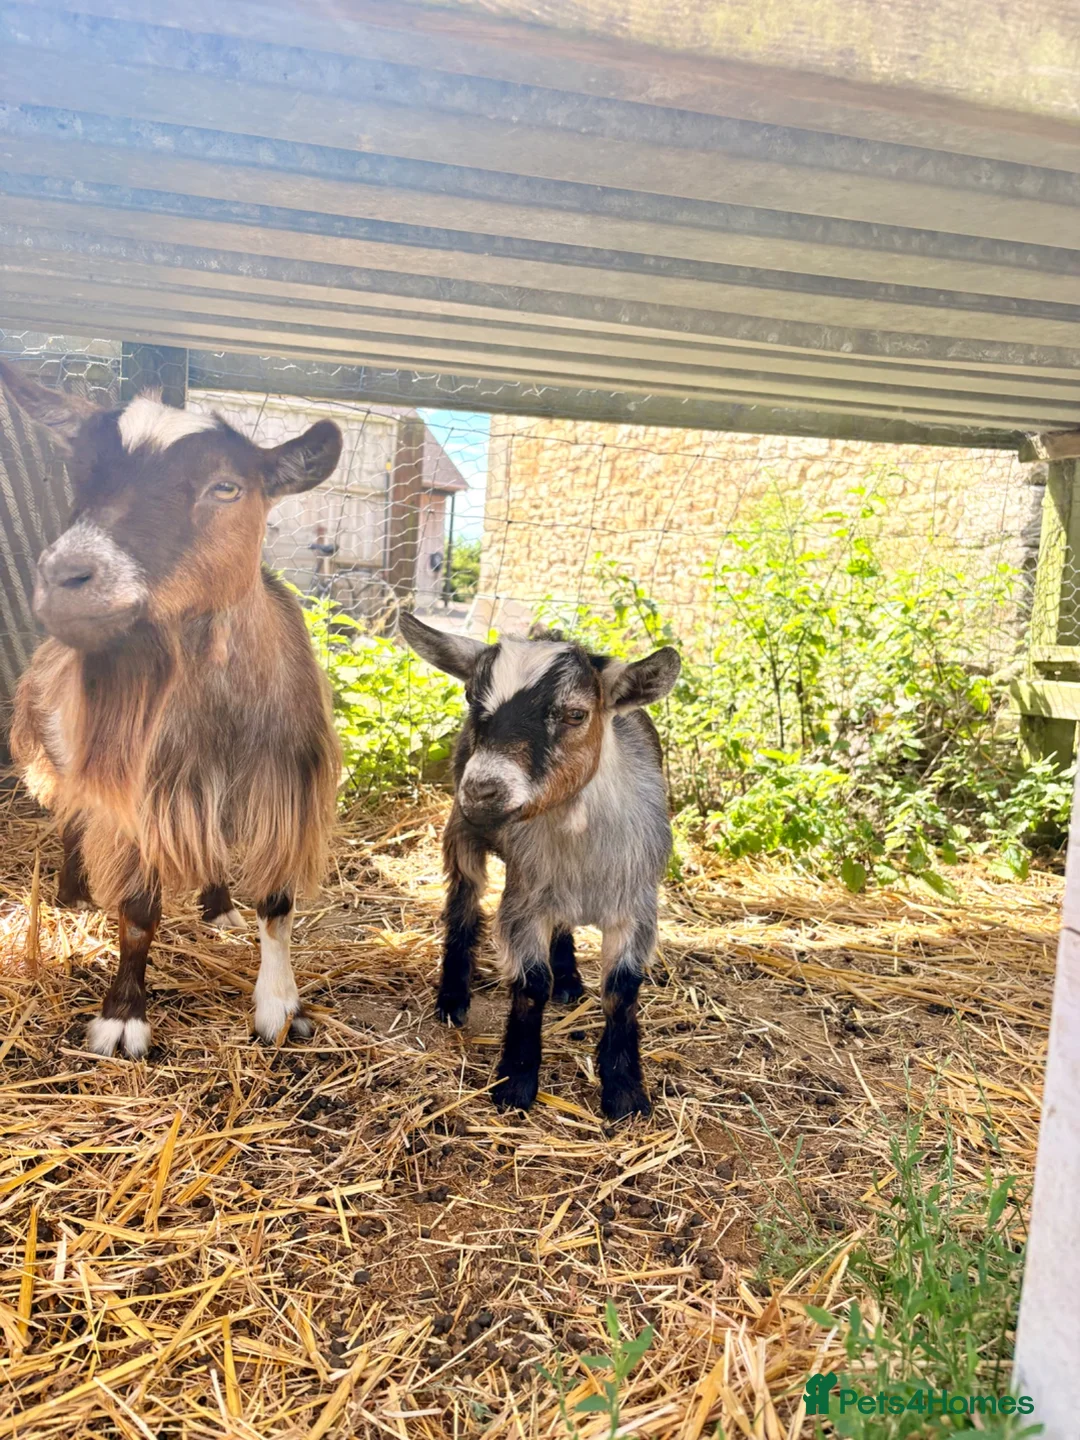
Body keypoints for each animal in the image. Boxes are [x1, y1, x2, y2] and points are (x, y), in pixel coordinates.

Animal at [1, 362, 343, 1057]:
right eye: (82, 473)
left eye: (226, 487)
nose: (66, 575)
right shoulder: (136, 799)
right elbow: (138, 913)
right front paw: (122, 1018)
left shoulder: (283, 791)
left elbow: (278, 905)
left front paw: (279, 1009)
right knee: (73, 823)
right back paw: (73, 892)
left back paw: (217, 905)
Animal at [398, 612, 680, 1120]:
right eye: (472, 700)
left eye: (575, 714)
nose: (483, 790)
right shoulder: (524, 901)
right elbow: (531, 985)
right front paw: (516, 1082)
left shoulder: (636, 909)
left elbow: (622, 990)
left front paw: (626, 1091)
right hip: (462, 833)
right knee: (463, 904)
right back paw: (452, 998)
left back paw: (569, 978)